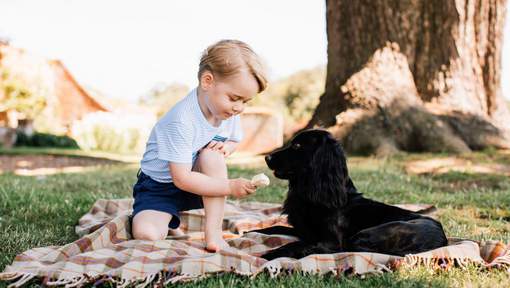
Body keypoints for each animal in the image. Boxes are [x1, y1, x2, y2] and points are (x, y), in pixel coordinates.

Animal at [253, 129, 448, 260]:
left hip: (368, 233)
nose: (267, 158)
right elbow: (273, 228)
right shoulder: (303, 230)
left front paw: (268, 255)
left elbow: (296, 244)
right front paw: (251, 232)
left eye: (297, 146)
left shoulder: (330, 241)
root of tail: (443, 240)